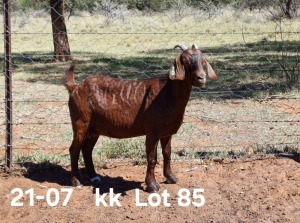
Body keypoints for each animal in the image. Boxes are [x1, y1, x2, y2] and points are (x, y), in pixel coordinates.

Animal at [64, 43, 217, 192]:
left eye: (203, 60)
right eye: (184, 61)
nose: (201, 78)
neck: (167, 94)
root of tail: (75, 88)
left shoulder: (167, 133)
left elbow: (167, 153)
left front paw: (171, 178)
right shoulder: (152, 131)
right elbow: (152, 158)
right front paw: (152, 185)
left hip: (94, 129)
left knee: (87, 149)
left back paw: (94, 177)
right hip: (80, 122)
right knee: (74, 149)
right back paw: (76, 181)